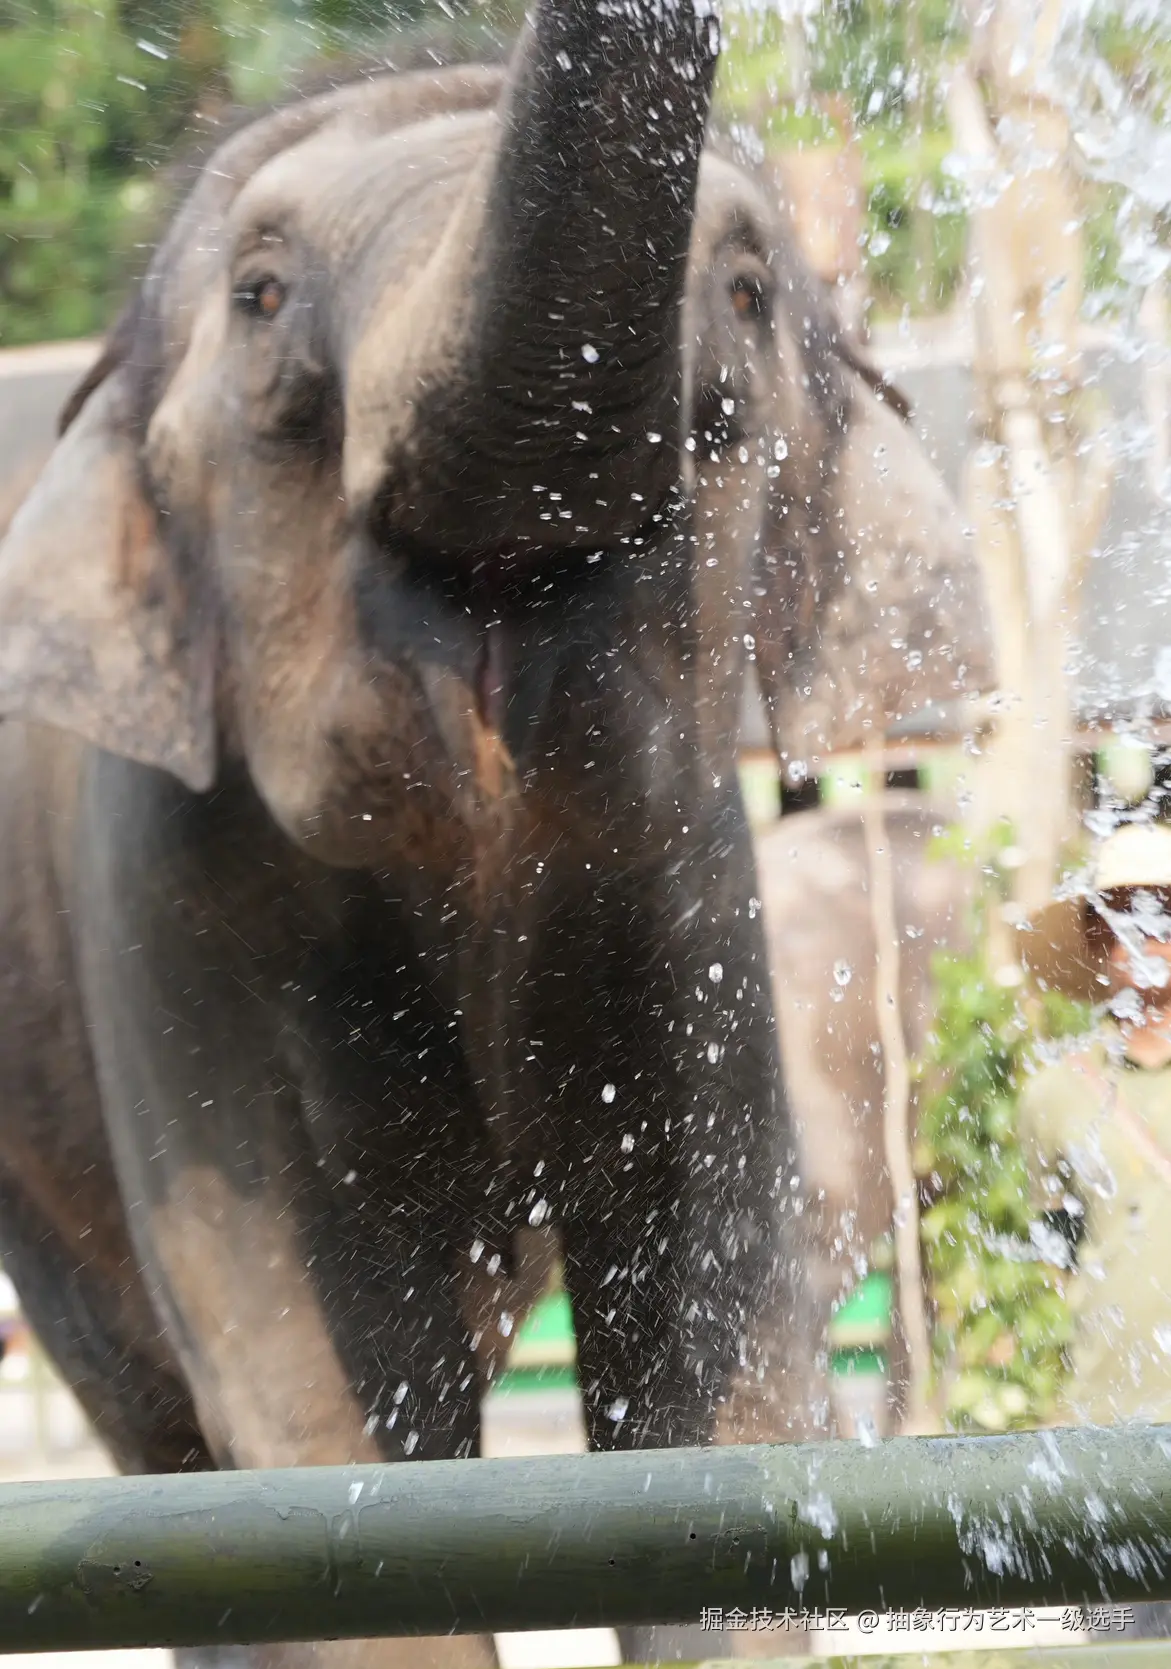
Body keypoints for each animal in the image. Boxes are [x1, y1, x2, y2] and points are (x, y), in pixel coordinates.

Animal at [0, 9, 993, 1668]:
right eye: (257, 298)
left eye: (744, 299)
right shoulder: (161, 892)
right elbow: (311, 1425)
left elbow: (711, 1367)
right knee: (165, 1441)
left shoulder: (691, 885)